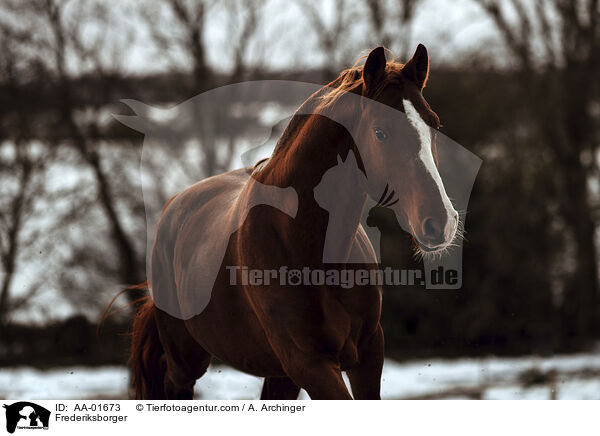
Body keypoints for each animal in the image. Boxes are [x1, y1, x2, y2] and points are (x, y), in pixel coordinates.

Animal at [131, 46, 458, 400]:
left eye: (434, 126)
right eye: (380, 132)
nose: (441, 221)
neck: (306, 244)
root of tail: (173, 208)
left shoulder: (368, 354)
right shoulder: (309, 364)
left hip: (278, 375)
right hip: (185, 363)